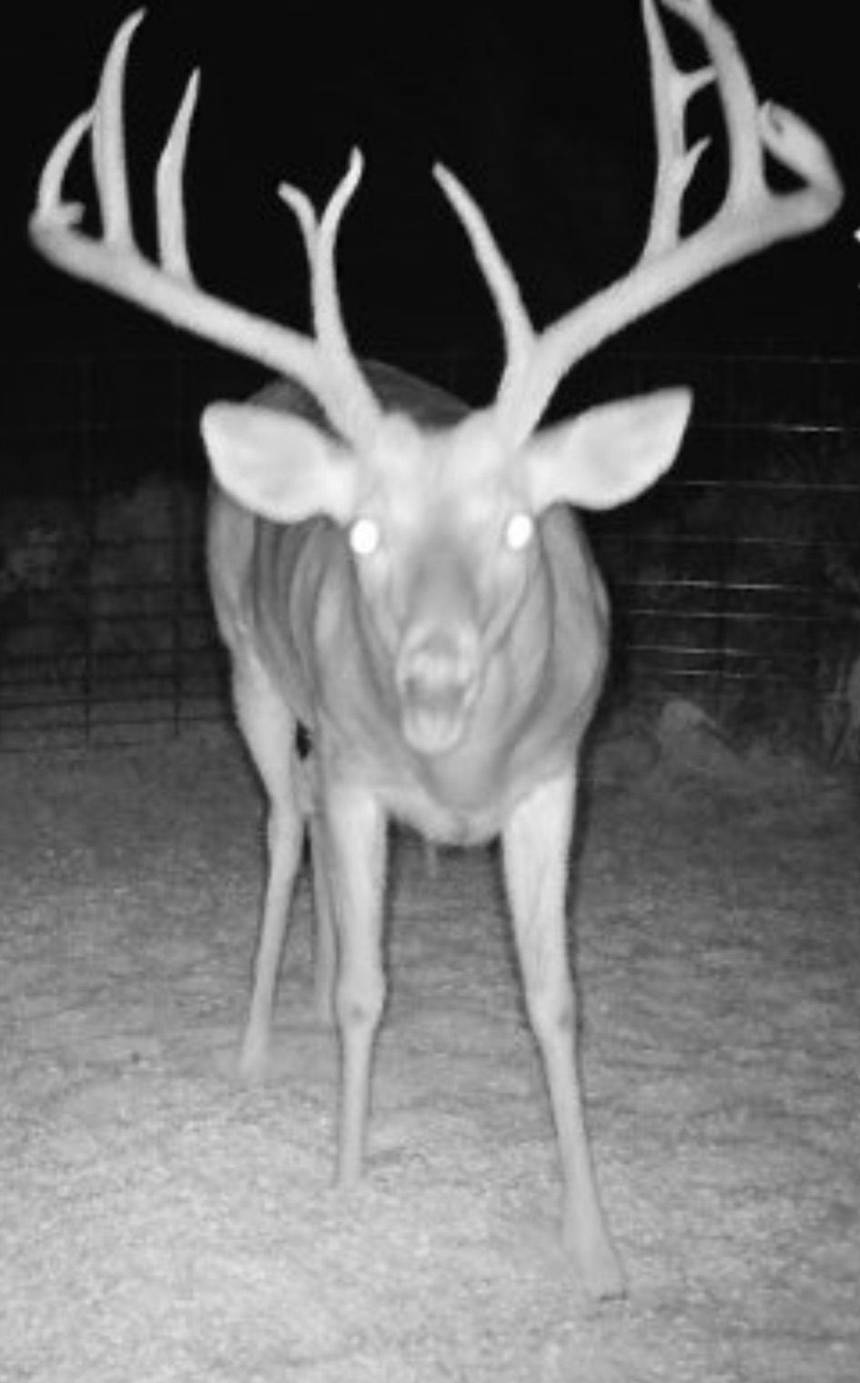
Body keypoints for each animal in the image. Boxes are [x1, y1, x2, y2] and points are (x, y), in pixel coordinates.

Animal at [30, 0, 841, 1299]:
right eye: (362, 531)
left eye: (516, 524)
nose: (432, 681)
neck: (458, 770)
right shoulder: (366, 769)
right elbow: (372, 988)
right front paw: (347, 1188)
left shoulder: (557, 775)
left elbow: (554, 1000)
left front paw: (596, 1250)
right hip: (248, 662)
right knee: (283, 823)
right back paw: (260, 1041)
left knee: (310, 827)